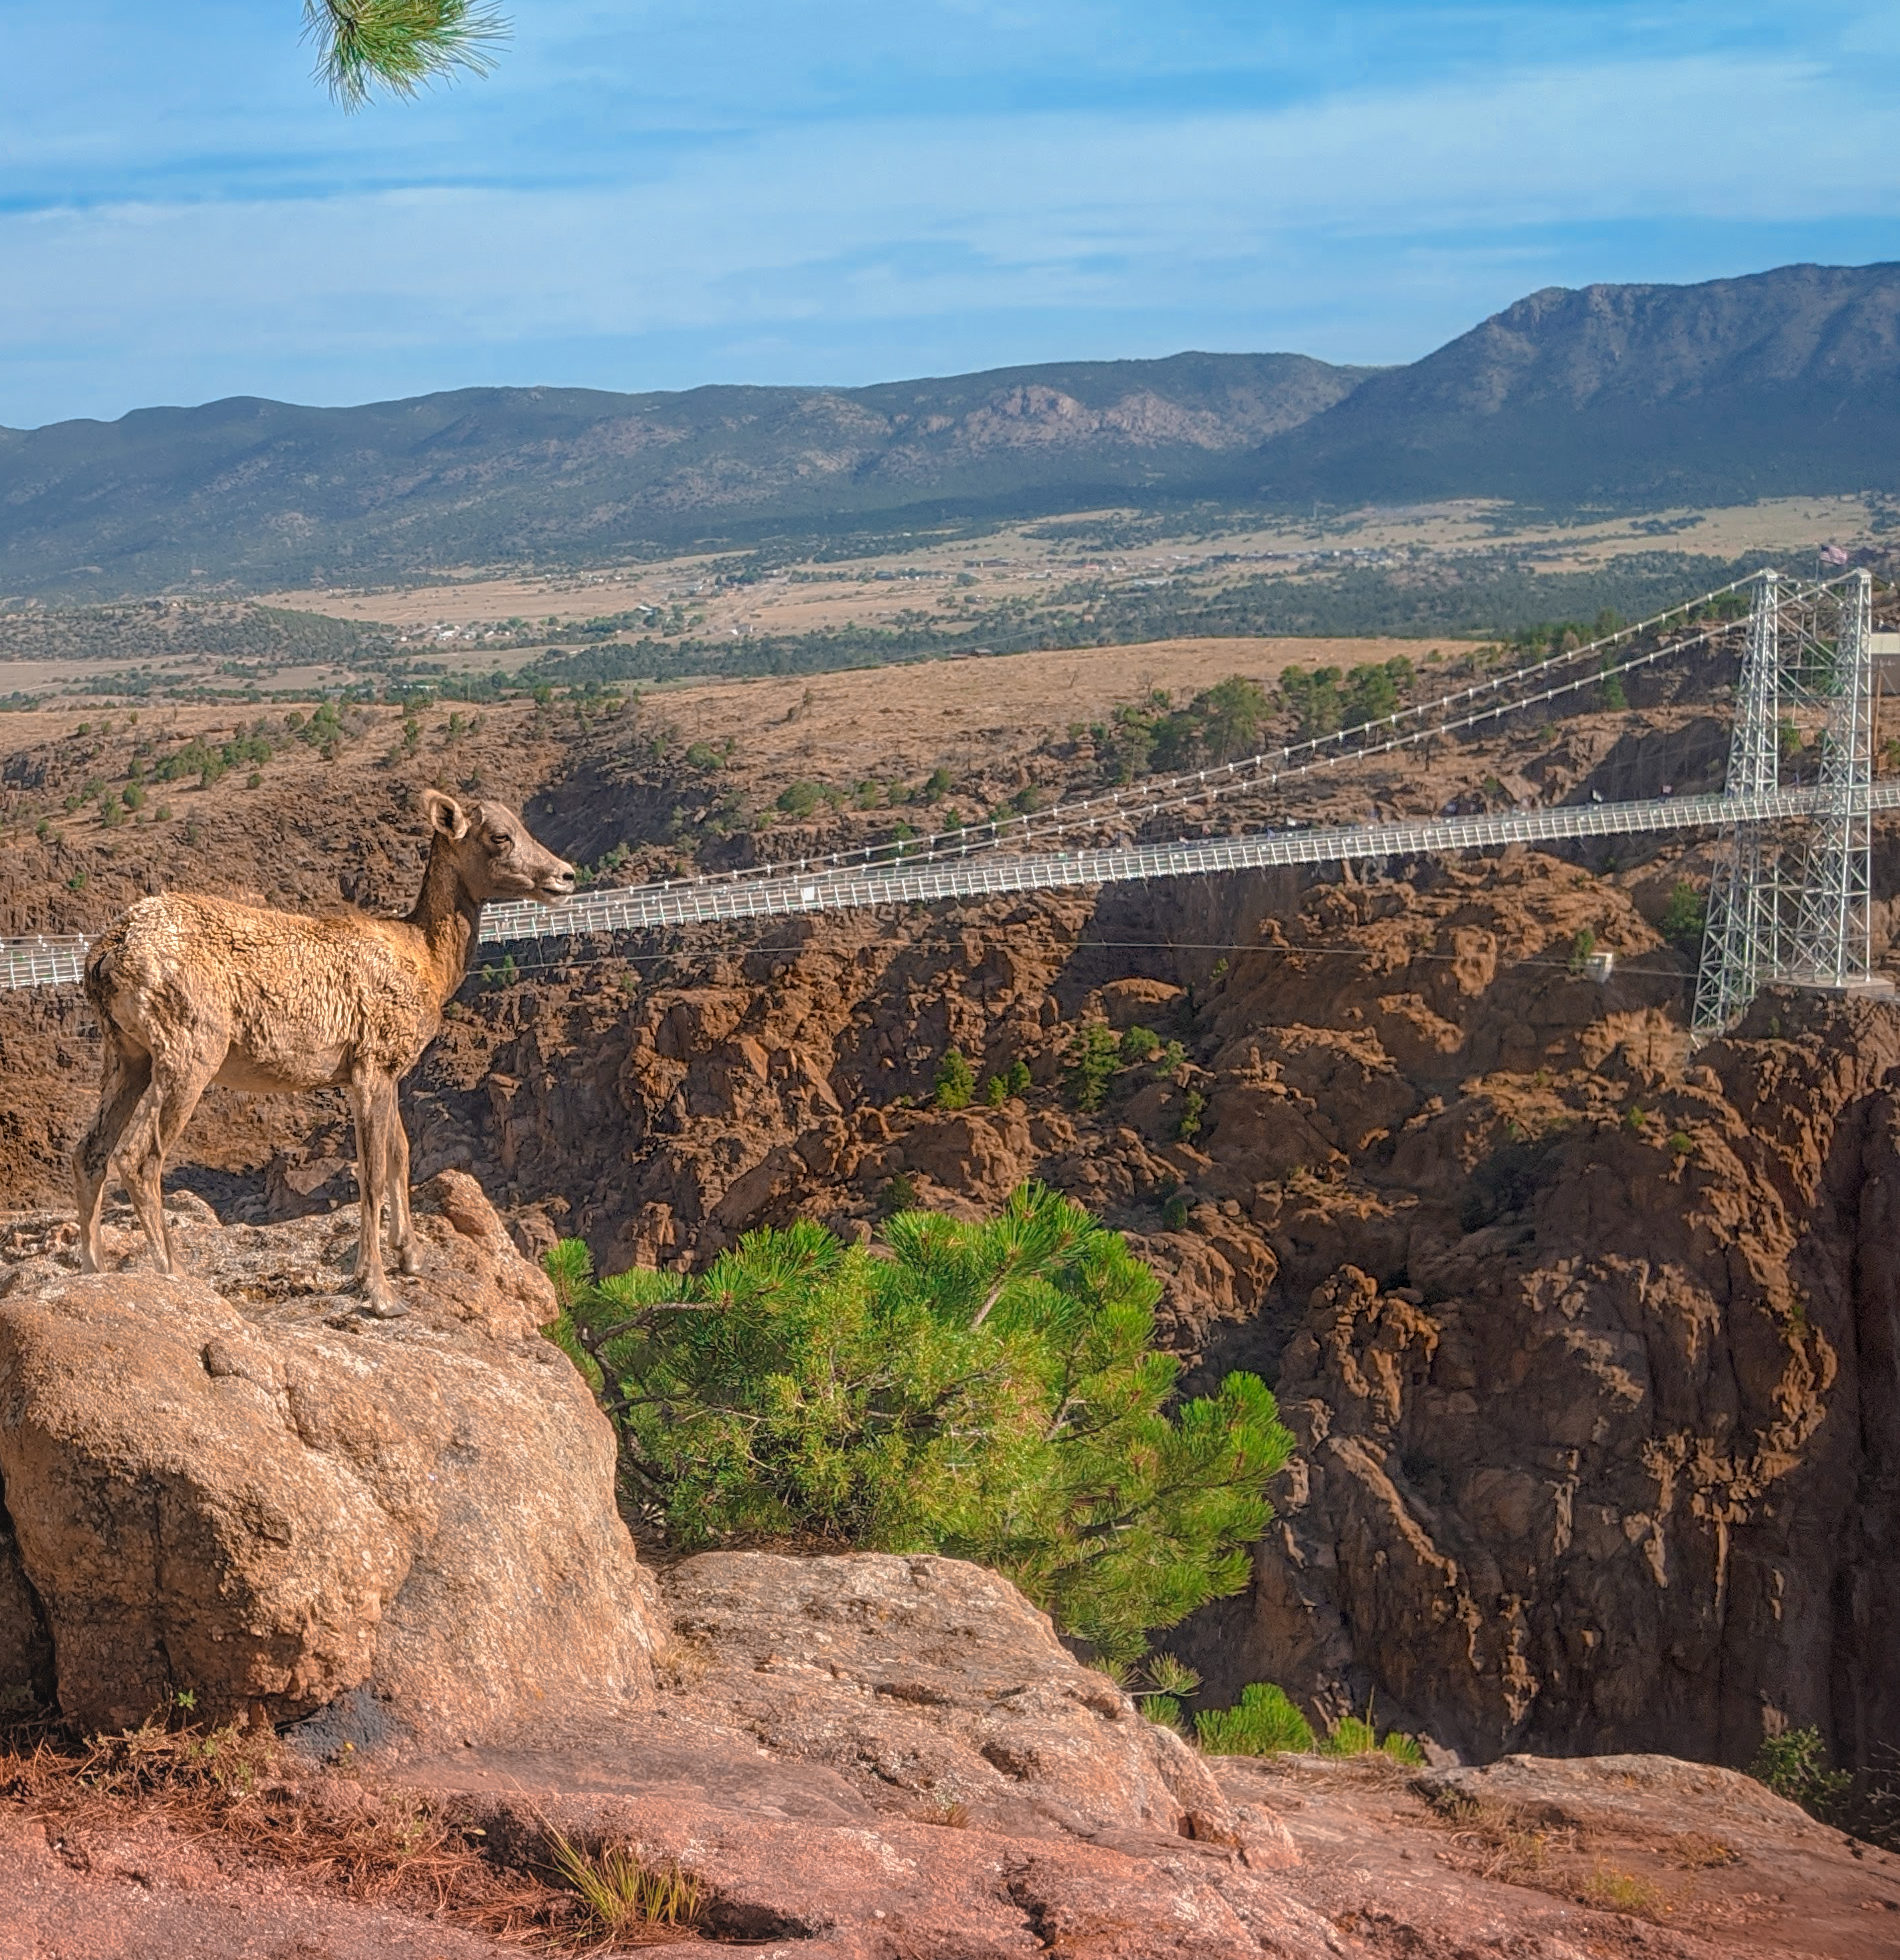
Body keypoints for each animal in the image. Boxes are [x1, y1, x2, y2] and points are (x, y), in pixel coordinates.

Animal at [74, 787, 576, 1309]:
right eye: (499, 836)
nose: (566, 876)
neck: (425, 959)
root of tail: (108, 953)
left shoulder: (385, 1073)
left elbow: (400, 1152)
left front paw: (411, 1257)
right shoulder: (372, 1067)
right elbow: (371, 1172)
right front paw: (380, 1293)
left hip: (127, 1057)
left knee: (88, 1152)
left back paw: (93, 1271)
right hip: (188, 1055)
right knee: (138, 1157)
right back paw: (175, 1275)